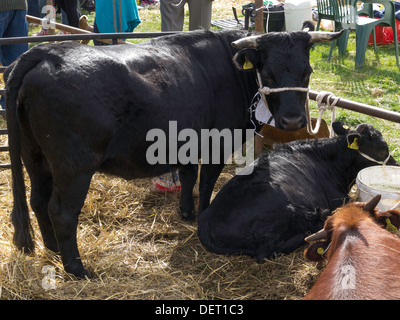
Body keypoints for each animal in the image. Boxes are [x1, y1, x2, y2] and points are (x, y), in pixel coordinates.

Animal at [3, 30, 340, 280]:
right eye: (267, 73)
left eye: (307, 72)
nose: (293, 121)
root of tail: (48, 51)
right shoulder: (218, 141)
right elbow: (207, 181)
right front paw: (201, 213)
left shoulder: (188, 141)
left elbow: (189, 176)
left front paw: (186, 213)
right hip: (74, 166)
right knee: (61, 211)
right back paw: (76, 269)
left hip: (35, 155)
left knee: (38, 200)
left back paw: (52, 248)